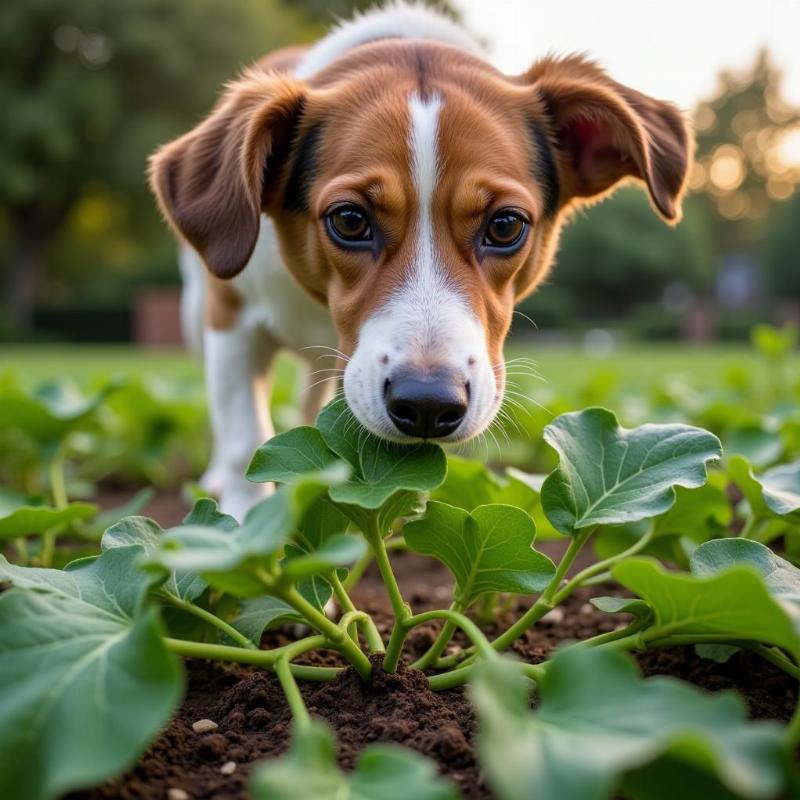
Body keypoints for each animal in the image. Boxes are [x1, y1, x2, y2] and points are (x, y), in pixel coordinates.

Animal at [150, 1, 692, 520]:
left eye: (505, 225)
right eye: (349, 219)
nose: (428, 403)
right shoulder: (231, 321)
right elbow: (244, 438)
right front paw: (244, 526)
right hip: (196, 312)